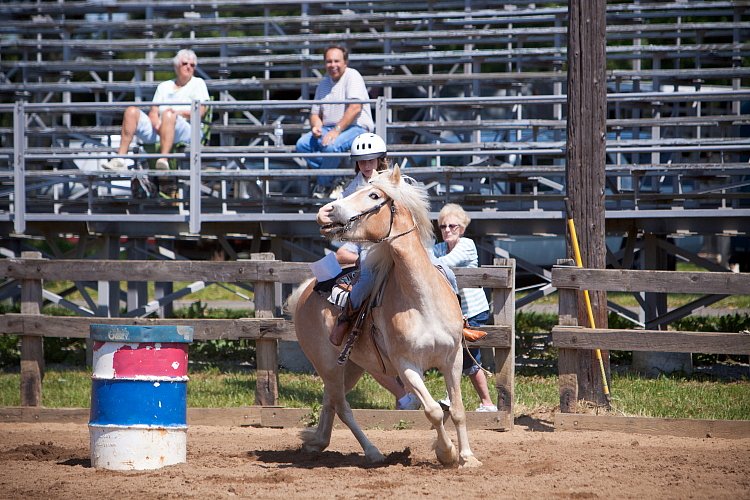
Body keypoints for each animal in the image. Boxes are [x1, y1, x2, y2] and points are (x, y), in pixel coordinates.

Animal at [288, 166, 482, 466]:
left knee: (330, 400)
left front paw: (468, 458)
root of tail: (306, 290)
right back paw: (372, 451)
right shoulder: (406, 365)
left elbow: (458, 410)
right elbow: (434, 411)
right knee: (342, 406)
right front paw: (446, 453)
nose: (324, 212)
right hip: (328, 364)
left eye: (374, 195)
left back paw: (317, 442)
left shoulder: (453, 358)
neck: (423, 302)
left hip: (351, 367)